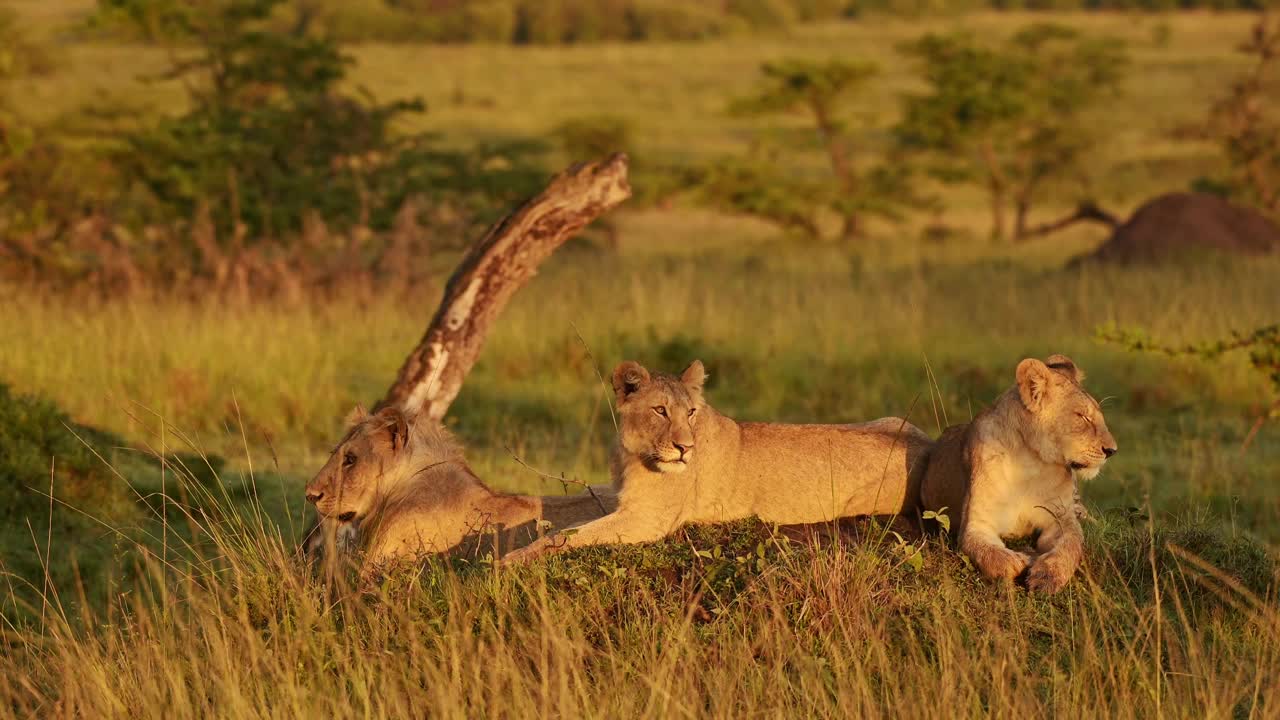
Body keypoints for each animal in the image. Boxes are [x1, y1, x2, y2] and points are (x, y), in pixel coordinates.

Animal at [499, 358, 931, 561]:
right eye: (660, 410)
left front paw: (510, 559)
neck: (634, 453)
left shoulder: (648, 519)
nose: (684, 448)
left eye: (690, 412)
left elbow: (569, 536)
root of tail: (926, 445)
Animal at [921, 353, 1121, 594]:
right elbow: (986, 551)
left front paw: (1048, 575)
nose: (1112, 451)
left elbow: (1071, 545)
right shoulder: (976, 524)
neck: (1029, 465)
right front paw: (1016, 563)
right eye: (1083, 417)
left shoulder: (1061, 518)